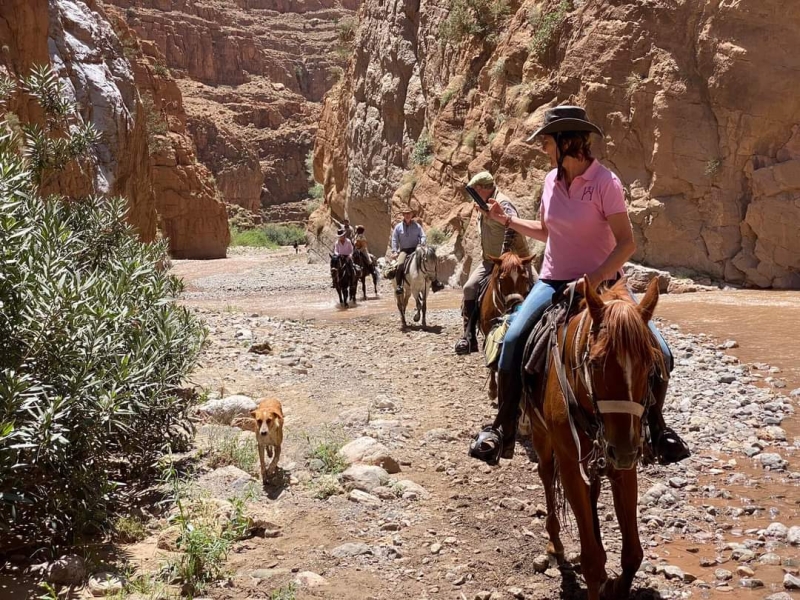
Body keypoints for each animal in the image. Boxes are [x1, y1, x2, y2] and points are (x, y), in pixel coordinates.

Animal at [478, 251, 536, 400]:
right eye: (502, 279)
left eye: (525, 279)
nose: (516, 305)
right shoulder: (489, 333)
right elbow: (492, 361)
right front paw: (493, 390)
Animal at [524, 278, 664, 600]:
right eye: (597, 363)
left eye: (650, 364)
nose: (623, 449)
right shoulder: (570, 464)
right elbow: (591, 560)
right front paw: (598, 575)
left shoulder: (623, 466)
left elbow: (633, 555)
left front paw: (614, 586)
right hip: (541, 436)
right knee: (546, 476)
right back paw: (555, 544)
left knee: (593, 491)